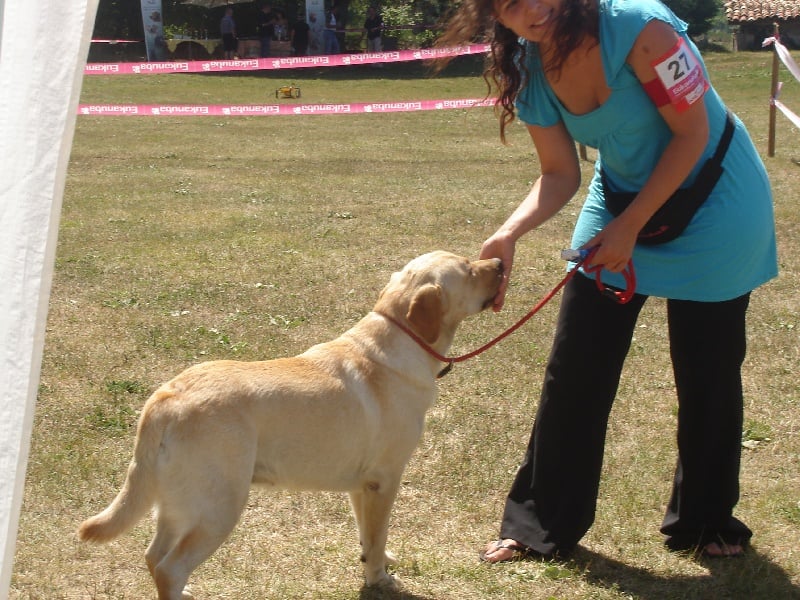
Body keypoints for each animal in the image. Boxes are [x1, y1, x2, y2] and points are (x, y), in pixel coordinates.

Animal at [78, 251, 503, 599]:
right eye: (468, 268)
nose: (500, 263)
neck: (400, 339)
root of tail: (166, 397)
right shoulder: (385, 480)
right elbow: (378, 533)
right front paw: (379, 579)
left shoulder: (360, 486)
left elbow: (368, 536)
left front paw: (375, 561)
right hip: (219, 507)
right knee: (169, 567)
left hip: (177, 503)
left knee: (153, 557)